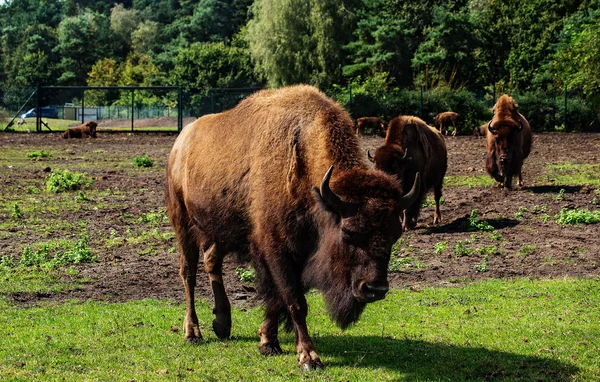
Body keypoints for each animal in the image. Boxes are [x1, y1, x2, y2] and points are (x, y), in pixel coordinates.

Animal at [163, 84, 418, 370]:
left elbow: (278, 298)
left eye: (395, 235)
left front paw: (268, 342)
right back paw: (192, 332)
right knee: (188, 272)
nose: (375, 289)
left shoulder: (292, 254)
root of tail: (180, 143)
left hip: (220, 228)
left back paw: (222, 324)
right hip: (182, 220)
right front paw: (308, 357)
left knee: (211, 261)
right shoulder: (277, 249)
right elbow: (295, 302)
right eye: (349, 232)